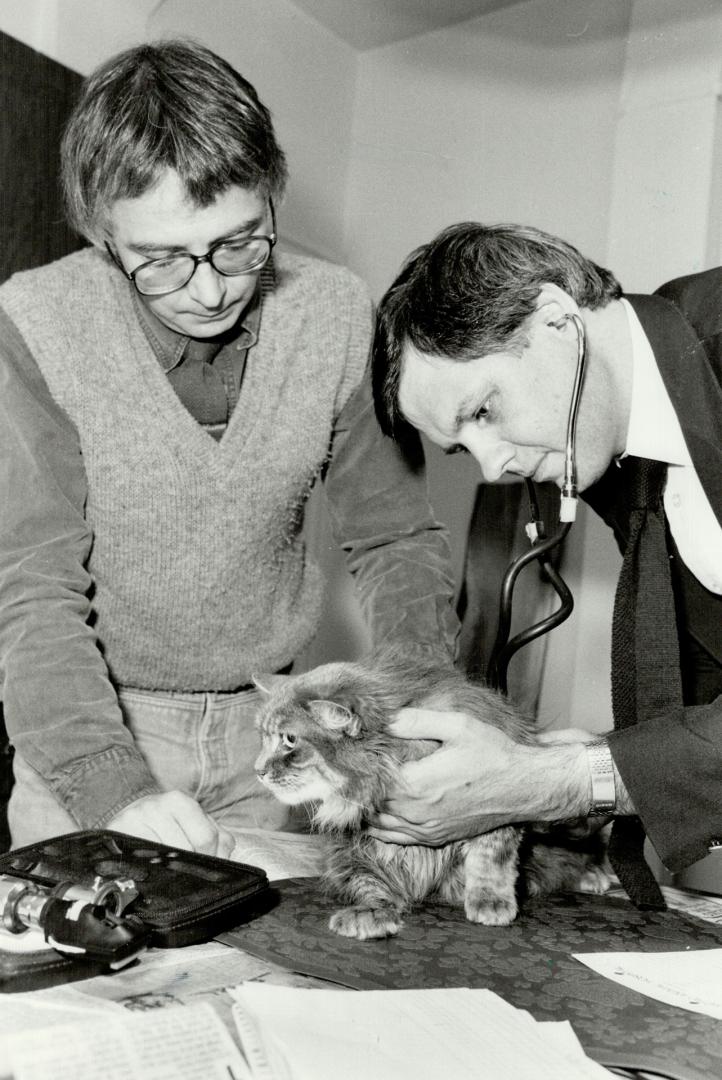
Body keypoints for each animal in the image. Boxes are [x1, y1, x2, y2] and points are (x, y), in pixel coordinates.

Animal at [253, 648, 608, 937]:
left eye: (289, 740)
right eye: (264, 738)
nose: (258, 770)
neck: (392, 755)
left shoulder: (497, 807)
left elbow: (490, 857)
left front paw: (489, 902)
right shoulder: (352, 850)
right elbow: (368, 882)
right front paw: (373, 913)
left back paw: (595, 876)